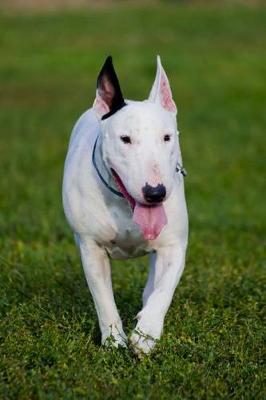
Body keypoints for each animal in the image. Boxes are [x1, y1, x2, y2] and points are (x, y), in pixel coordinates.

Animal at [62, 55, 188, 354]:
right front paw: (113, 341)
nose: (155, 193)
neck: (124, 204)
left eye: (167, 137)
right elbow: (103, 299)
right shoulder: (91, 248)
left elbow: (163, 290)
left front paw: (146, 334)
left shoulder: (175, 244)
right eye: (125, 139)